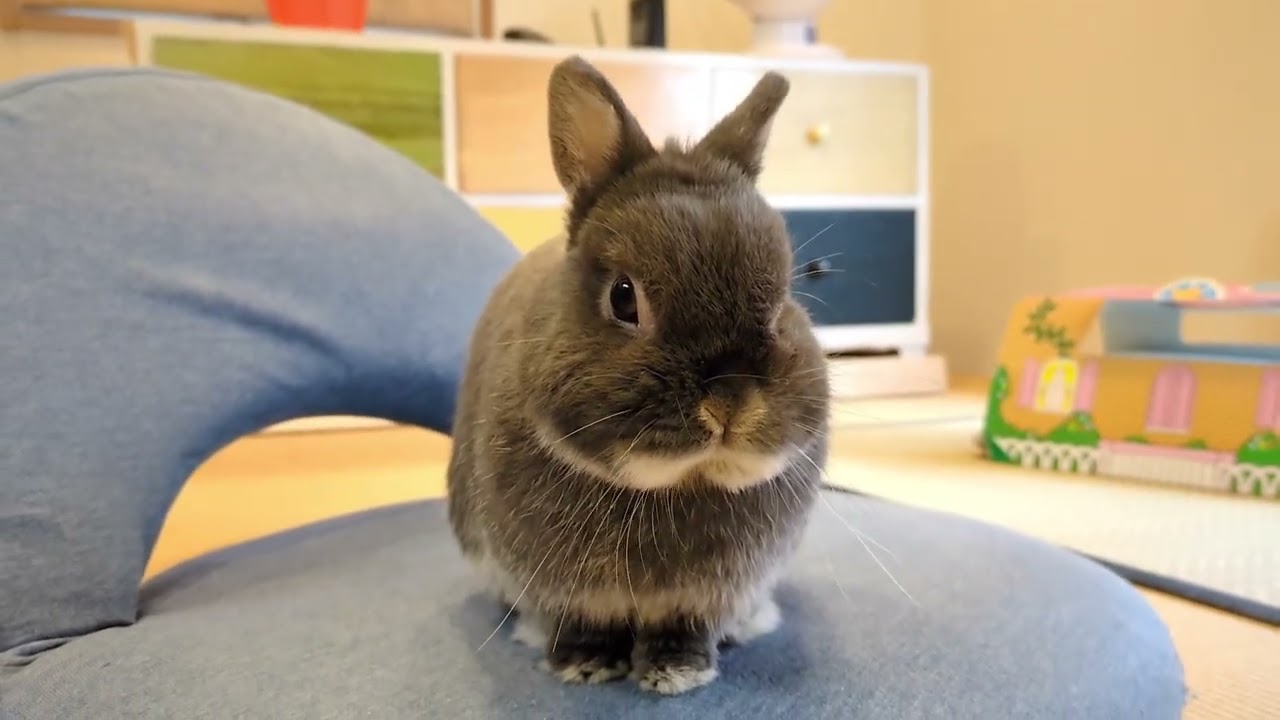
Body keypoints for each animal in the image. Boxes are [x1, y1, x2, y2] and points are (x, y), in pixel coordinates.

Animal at [446, 55, 830, 696]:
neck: (674, 485)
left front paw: (678, 672)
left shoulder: (702, 598)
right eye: (623, 297)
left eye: (785, 301)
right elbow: (581, 622)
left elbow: (684, 628)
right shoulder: (564, 590)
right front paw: (585, 664)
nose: (730, 399)